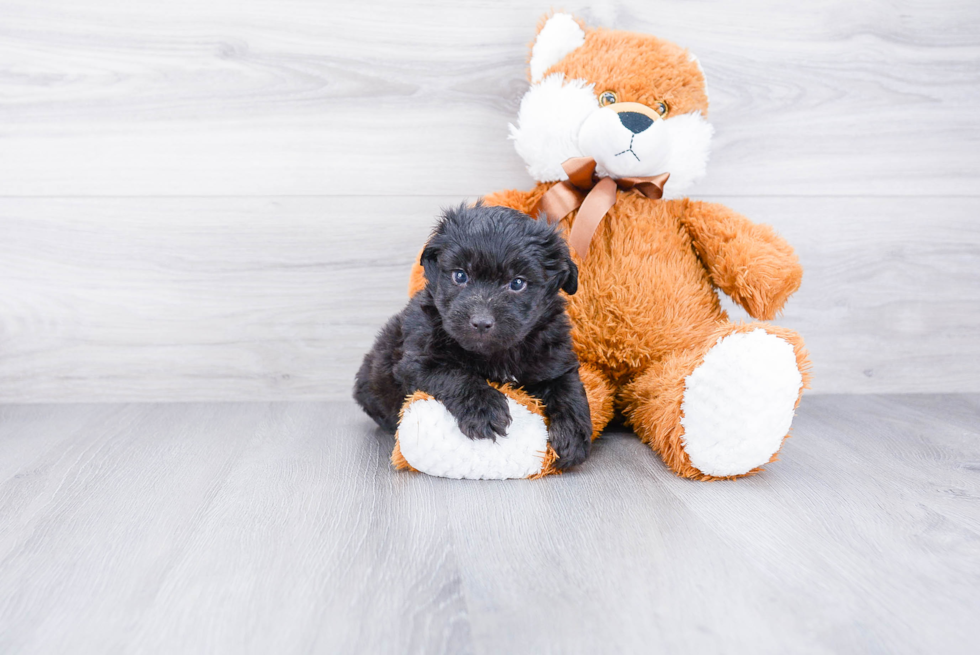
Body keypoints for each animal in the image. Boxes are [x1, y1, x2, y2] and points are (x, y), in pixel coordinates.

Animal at [356, 202, 592, 468]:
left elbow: (569, 390)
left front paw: (573, 434)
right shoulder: (417, 360)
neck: (496, 354)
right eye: (460, 276)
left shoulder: (554, 360)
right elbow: (455, 374)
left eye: (517, 283)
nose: (481, 322)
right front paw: (484, 409)